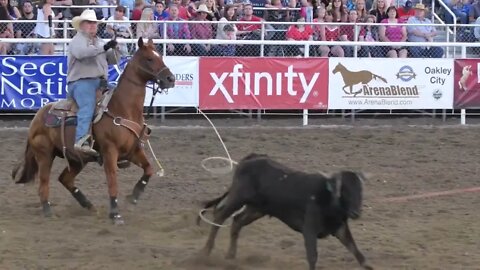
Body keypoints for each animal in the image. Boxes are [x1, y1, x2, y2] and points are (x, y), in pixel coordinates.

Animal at [11, 37, 175, 225]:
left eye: (160, 56)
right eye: (149, 59)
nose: (171, 79)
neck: (123, 108)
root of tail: (37, 117)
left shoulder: (134, 150)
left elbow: (148, 169)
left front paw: (134, 196)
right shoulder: (110, 151)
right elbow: (112, 181)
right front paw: (115, 214)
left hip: (76, 158)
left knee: (65, 179)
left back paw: (88, 205)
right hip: (45, 154)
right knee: (44, 183)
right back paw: (48, 211)